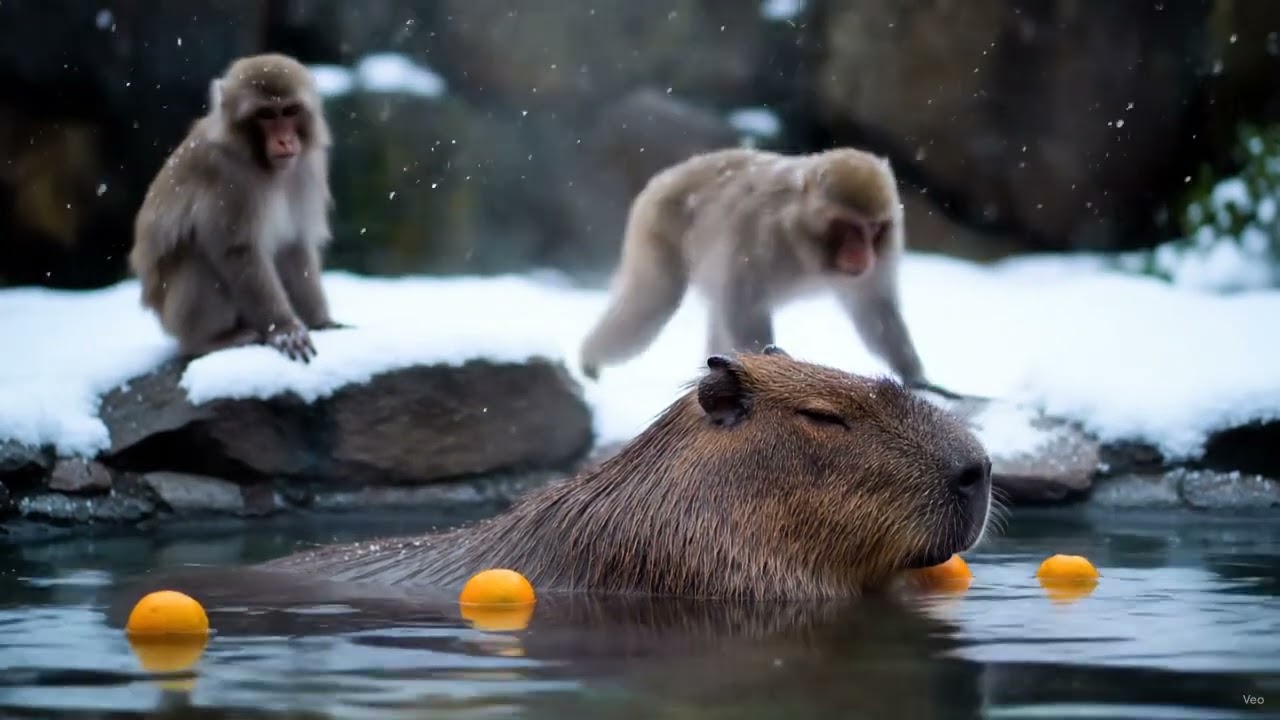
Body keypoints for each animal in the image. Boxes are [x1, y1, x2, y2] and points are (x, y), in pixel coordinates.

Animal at [128, 53, 342, 364]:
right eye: (266, 114)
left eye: (290, 110)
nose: (285, 141)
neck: (263, 165)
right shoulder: (225, 175)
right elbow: (238, 251)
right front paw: (284, 329)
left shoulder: (308, 167)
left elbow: (293, 247)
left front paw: (321, 322)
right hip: (171, 315)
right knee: (197, 258)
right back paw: (208, 342)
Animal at [577, 146, 939, 392]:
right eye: (849, 228)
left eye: (873, 229)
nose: (862, 255)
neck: (805, 244)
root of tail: (668, 174)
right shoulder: (759, 236)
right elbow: (745, 309)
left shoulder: (881, 259)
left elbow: (874, 310)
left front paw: (914, 375)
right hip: (656, 223)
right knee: (651, 304)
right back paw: (589, 361)